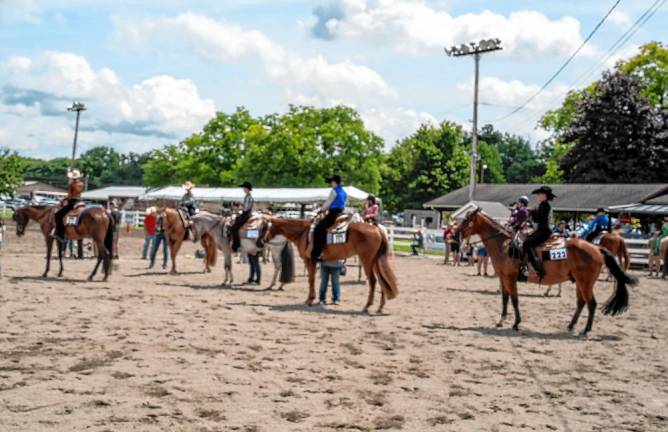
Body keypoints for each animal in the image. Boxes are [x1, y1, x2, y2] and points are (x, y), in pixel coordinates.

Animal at [260, 216, 396, 314]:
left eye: (266, 227)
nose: (263, 240)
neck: (302, 232)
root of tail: (377, 229)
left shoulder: (309, 260)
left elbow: (311, 279)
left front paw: (309, 300)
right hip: (375, 261)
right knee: (382, 280)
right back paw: (380, 307)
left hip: (367, 260)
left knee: (373, 281)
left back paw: (367, 306)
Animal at [456, 208, 640, 334]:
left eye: (466, 220)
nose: (456, 234)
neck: (505, 245)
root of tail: (596, 248)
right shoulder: (503, 277)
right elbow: (505, 299)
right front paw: (501, 320)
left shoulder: (510, 277)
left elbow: (514, 300)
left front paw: (516, 323)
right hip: (579, 282)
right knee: (581, 303)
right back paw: (571, 326)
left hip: (586, 282)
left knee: (591, 303)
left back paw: (586, 330)